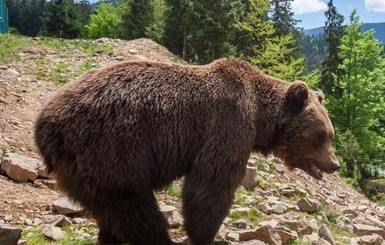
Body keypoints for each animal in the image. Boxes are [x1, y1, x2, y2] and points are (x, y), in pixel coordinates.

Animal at [34, 58, 338, 245]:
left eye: (329, 134)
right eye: (320, 136)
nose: (334, 164)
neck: (261, 116)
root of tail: (44, 125)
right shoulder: (227, 124)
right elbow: (210, 186)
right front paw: (206, 235)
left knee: (114, 215)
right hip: (111, 152)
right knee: (136, 210)